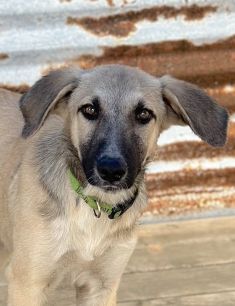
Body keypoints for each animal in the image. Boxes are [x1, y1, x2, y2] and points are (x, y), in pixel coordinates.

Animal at [0, 64, 228, 304]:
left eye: (144, 114)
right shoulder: (28, 283)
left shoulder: (102, 286)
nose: (111, 170)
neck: (94, 204)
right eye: (89, 110)